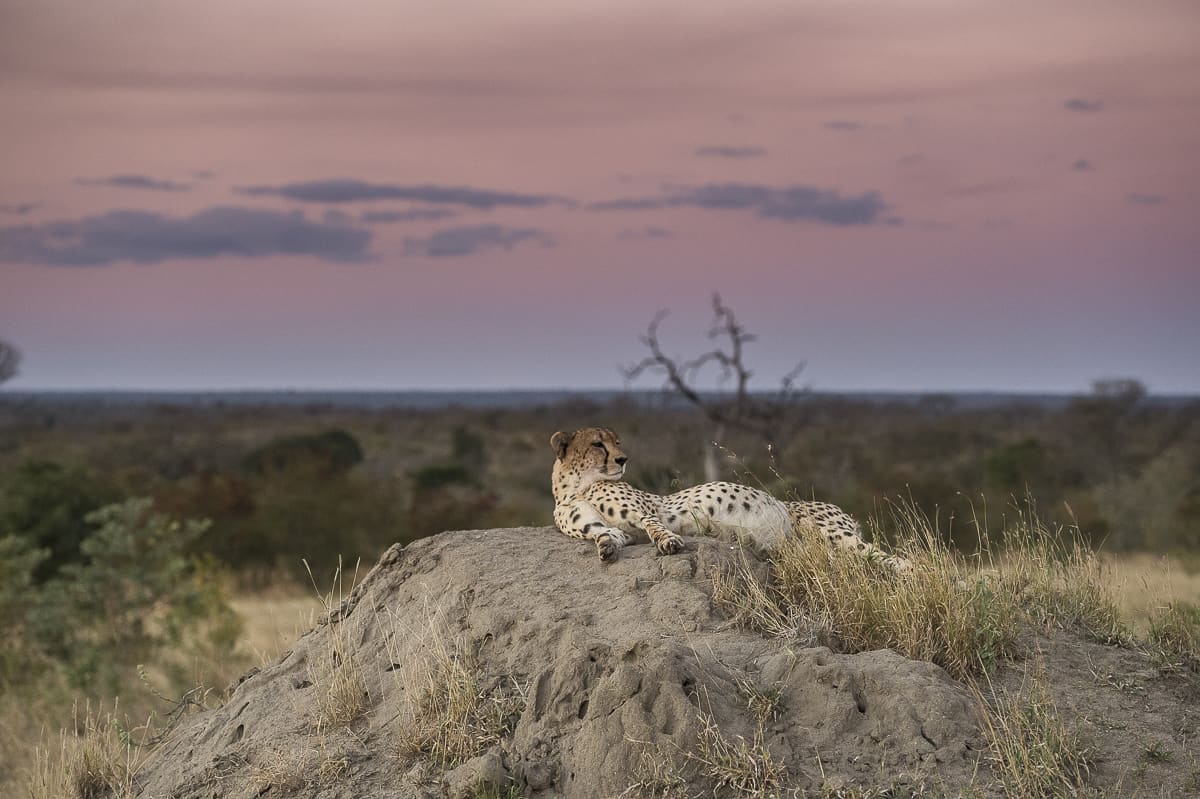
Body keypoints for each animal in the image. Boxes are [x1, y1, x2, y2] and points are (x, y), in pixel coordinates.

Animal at [550, 426, 910, 571]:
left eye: (617, 442)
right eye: (598, 443)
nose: (623, 459)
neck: (576, 487)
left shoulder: (646, 512)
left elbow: (655, 526)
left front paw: (669, 543)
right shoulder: (610, 528)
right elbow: (606, 535)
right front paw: (606, 549)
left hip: (829, 532)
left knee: (895, 559)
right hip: (805, 546)